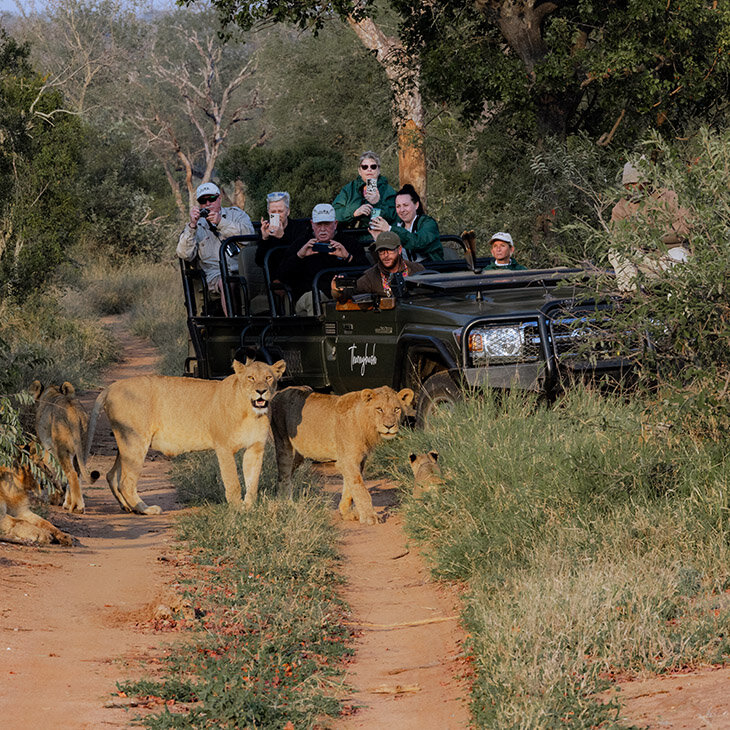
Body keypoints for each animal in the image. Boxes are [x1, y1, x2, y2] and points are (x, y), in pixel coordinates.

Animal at [30, 382, 99, 512]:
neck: (52, 392)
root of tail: (72, 412)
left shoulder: (47, 449)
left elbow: (55, 473)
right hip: (83, 449)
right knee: (78, 472)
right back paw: (71, 503)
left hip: (62, 449)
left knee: (72, 474)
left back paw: (77, 507)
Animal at [86, 356, 286, 512]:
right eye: (251, 378)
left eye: (268, 377)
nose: (261, 391)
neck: (251, 413)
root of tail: (112, 387)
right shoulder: (224, 448)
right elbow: (233, 482)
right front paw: (237, 511)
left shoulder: (255, 448)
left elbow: (253, 481)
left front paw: (249, 509)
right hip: (136, 441)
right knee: (126, 482)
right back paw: (145, 509)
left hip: (126, 442)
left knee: (111, 475)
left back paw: (128, 508)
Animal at [268, 386, 416, 524]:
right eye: (379, 409)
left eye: (396, 409)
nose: (389, 426)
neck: (366, 423)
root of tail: (279, 392)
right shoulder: (348, 460)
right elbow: (360, 489)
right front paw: (370, 516)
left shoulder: (358, 460)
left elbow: (349, 488)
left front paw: (346, 513)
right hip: (284, 444)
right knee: (284, 475)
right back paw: (285, 503)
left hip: (299, 456)